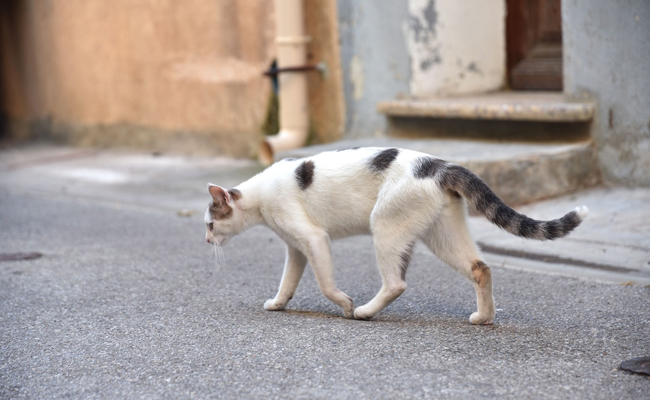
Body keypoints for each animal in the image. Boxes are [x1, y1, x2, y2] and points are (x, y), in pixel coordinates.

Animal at [204, 148, 588, 324]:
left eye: (208, 224)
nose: (206, 242)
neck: (259, 196)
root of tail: (440, 164)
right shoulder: (296, 248)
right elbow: (288, 281)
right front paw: (279, 303)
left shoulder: (313, 238)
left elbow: (326, 284)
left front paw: (345, 305)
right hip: (443, 234)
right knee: (481, 268)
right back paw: (484, 317)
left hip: (386, 225)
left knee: (396, 283)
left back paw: (365, 311)